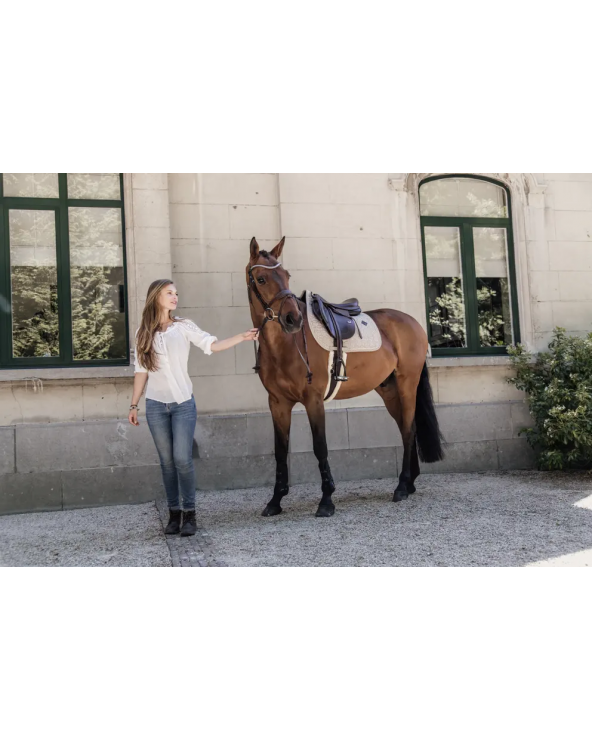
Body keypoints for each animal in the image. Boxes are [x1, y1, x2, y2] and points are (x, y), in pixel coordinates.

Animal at [246, 234, 444, 516]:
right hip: (389, 391)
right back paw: (410, 482)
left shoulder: (313, 400)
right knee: (409, 428)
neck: (285, 345)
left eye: (286, 275)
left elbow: (320, 447)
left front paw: (327, 500)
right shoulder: (278, 404)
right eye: (261, 279)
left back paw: (402, 486)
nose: (292, 318)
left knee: (408, 430)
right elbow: (280, 451)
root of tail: (413, 322)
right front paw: (275, 500)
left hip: (408, 385)